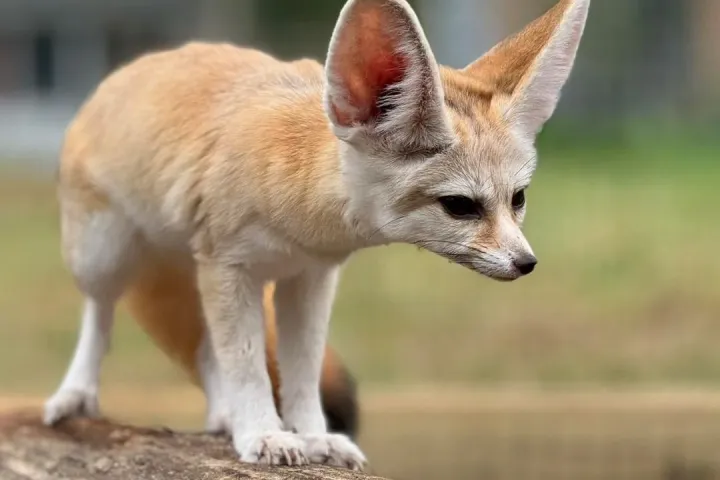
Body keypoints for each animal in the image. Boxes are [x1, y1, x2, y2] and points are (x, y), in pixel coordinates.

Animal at [44, 0, 591, 470]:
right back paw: (77, 394)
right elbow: (248, 364)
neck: (303, 221)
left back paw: (224, 416)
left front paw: (311, 436)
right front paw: (264, 434)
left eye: (517, 199)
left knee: (204, 349)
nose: (526, 263)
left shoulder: (309, 278)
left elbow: (300, 370)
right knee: (101, 315)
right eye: (460, 206)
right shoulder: (231, 268)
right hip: (105, 257)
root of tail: (132, 66)